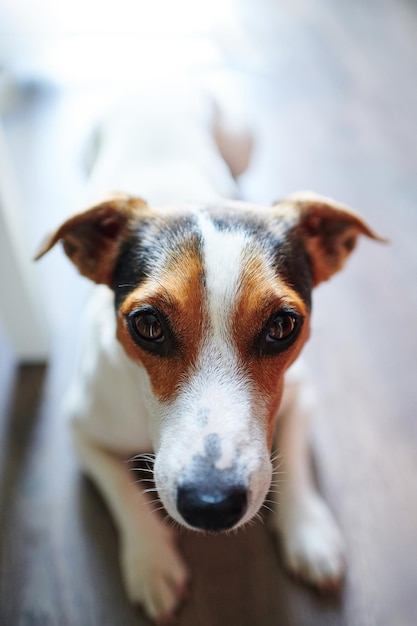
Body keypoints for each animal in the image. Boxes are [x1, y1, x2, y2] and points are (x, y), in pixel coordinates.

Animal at [35, 90, 380, 620]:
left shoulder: (302, 391)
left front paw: (309, 533)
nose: (211, 503)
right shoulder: (81, 428)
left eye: (282, 326)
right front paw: (151, 561)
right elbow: (124, 494)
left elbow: (294, 458)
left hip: (241, 138)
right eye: (148, 325)